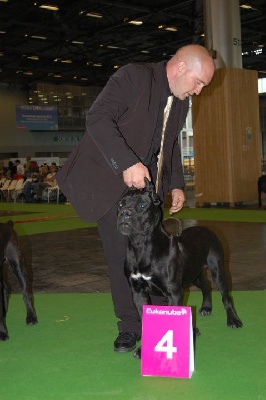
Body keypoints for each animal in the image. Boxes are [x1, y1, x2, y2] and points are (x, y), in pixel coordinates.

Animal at [117, 180, 242, 358]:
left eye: (142, 205)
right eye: (120, 204)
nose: (125, 213)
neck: (141, 246)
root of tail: (206, 228)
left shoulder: (174, 292)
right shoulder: (138, 292)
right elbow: (144, 321)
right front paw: (144, 350)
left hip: (218, 270)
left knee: (226, 296)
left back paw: (233, 320)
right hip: (193, 275)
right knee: (206, 285)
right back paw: (206, 308)